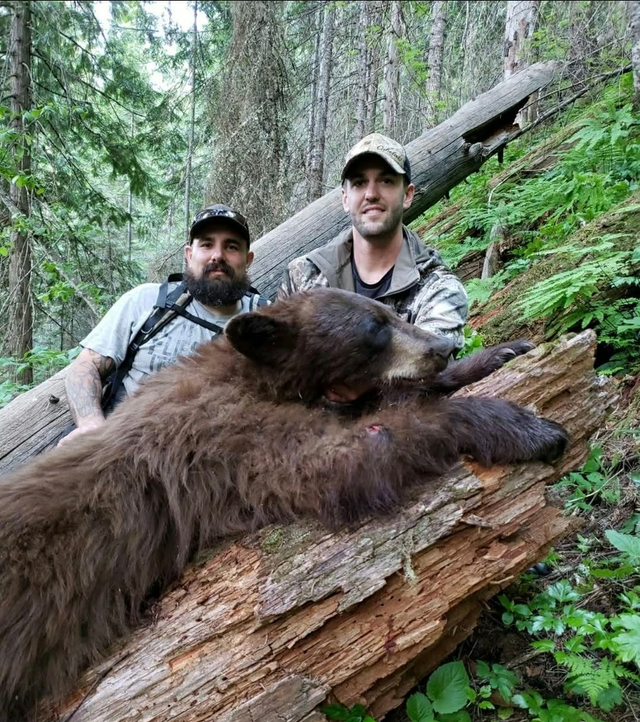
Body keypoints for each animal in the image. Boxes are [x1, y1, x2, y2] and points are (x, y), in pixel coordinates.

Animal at [0, 288, 568, 720]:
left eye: (386, 312)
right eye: (375, 328)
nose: (443, 345)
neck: (254, 375)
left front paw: (498, 353)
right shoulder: (224, 436)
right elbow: (344, 456)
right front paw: (523, 425)